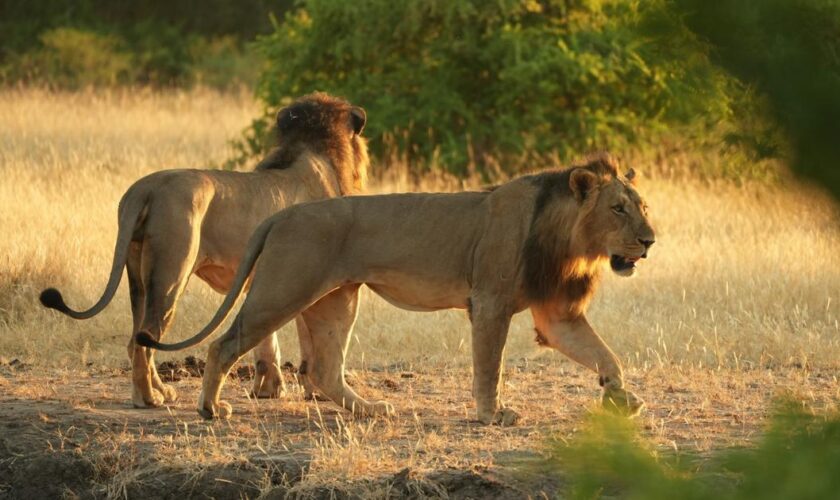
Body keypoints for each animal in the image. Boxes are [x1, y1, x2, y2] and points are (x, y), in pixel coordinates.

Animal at [39, 92, 368, 408]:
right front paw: (313, 391)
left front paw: (268, 389)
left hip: (138, 276)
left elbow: (267, 343)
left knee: (137, 338)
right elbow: (307, 341)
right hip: (171, 273)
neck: (313, 149)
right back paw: (147, 399)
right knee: (144, 340)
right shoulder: (307, 273)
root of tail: (145, 188)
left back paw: (163, 391)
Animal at [139, 154, 656, 424]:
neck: (571, 242)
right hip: (283, 290)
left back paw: (371, 409)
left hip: (337, 300)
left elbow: (606, 355)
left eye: (643, 207)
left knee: (324, 370)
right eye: (617, 209)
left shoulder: (556, 313)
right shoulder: (490, 302)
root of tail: (282, 215)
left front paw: (621, 397)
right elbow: (490, 366)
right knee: (224, 343)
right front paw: (491, 413)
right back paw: (210, 407)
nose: (650, 240)